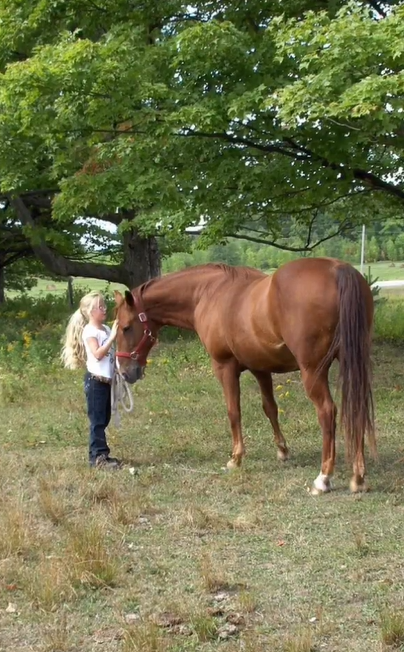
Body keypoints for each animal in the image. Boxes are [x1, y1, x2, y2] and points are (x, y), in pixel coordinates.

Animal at [113, 258, 376, 492]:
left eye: (126, 327)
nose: (125, 372)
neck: (208, 293)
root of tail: (337, 269)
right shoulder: (260, 367)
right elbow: (270, 408)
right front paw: (282, 450)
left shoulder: (225, 367)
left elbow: (233, 412)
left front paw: (235, 458)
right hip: (354, 362)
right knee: (357, 408)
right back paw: (358, 477)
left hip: (313, 371)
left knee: (327, 412)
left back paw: (323, 478)